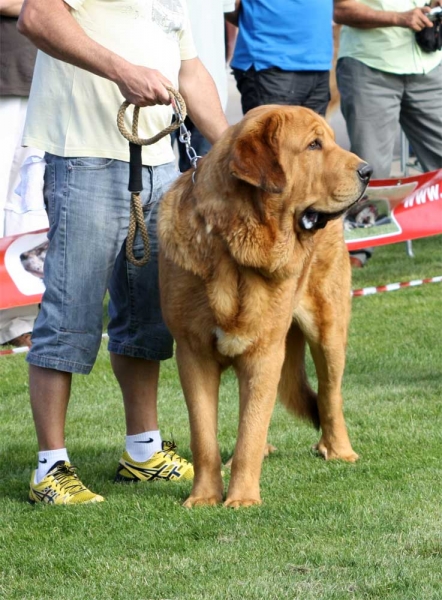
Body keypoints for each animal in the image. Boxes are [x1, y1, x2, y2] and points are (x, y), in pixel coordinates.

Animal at [157, 104, 372, 506]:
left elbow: (250, 432)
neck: (235, 246)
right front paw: (203, 498)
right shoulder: (194, 355)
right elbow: (205, 436)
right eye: (314, 145)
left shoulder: (264, 353)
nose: (367, 171)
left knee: (329, 394)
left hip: (328, 332)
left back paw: (339, 450)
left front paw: (241, 499)